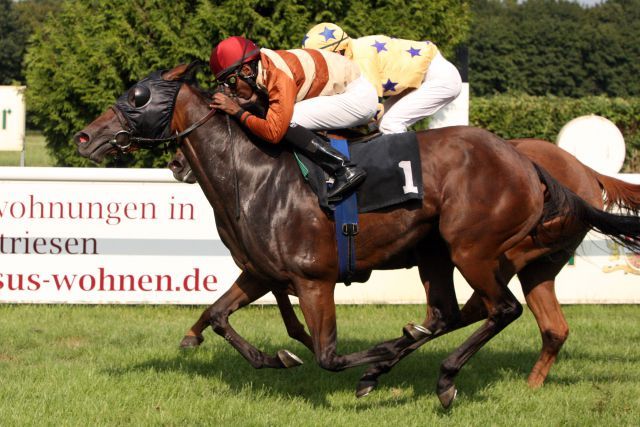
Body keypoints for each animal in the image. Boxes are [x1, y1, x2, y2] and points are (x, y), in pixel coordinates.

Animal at [74, 64, 640, 408]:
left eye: (137, 96)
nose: (85, 136)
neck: (253, 173)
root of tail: (528, 161)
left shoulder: (313, 279)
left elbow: (328, 356)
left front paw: (366, 361)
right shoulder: (259, 272)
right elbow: (217, 316)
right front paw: (272, 356)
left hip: (475, 248)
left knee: (500, 309)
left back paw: (444, 378)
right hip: (440, 254)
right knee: (459, 313)